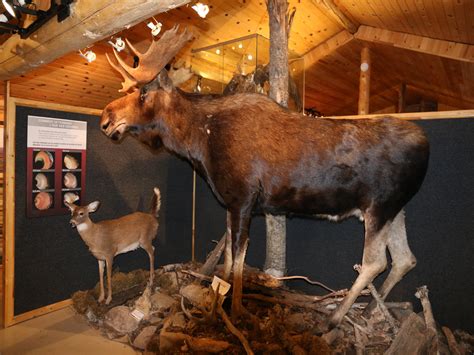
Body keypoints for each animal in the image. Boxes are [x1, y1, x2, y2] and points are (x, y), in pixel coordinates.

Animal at [102, 26, 432, 330]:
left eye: (143, 92)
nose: (105, 118)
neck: (199, 142)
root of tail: (425, 145)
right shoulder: (231, 203)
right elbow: (227, 260)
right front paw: (215, 304)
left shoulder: (244, 199)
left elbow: (238, 260)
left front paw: (235, 311)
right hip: (396, 209)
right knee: (406, 258)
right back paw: (370, 309)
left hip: (379, 206)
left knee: (375, 262)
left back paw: (335, 317)